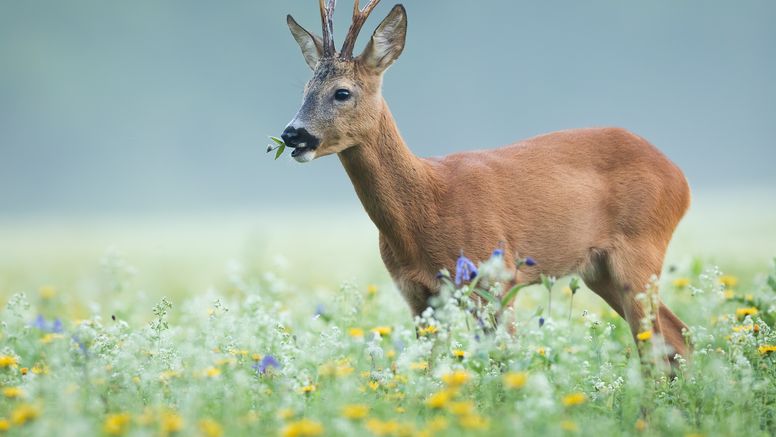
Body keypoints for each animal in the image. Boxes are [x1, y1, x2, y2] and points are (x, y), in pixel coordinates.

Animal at [280, 0, 692, 362]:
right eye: (305, 91)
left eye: (342, 92)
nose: (292, 134)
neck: (425, 208)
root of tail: (680, 178)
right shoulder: (420, 296)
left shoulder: (495, 278)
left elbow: (505, 362)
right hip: (599, 270)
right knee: (677, 337)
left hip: (640, 250)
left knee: (659, 346)